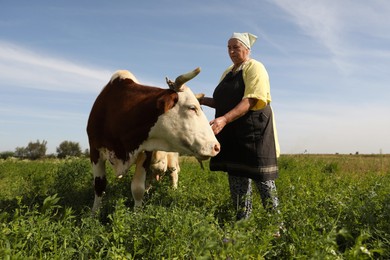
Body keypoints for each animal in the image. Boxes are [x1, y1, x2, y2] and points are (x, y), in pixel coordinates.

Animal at [86, 67, 219, 211]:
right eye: (192, 108)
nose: (216, 147)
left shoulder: (145, 152)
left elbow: (137, 189)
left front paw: (137, 214)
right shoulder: (94, 150)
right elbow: (99, 186)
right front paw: (94, 214)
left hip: (172, 159)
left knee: (173, 175)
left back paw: (173, 192)